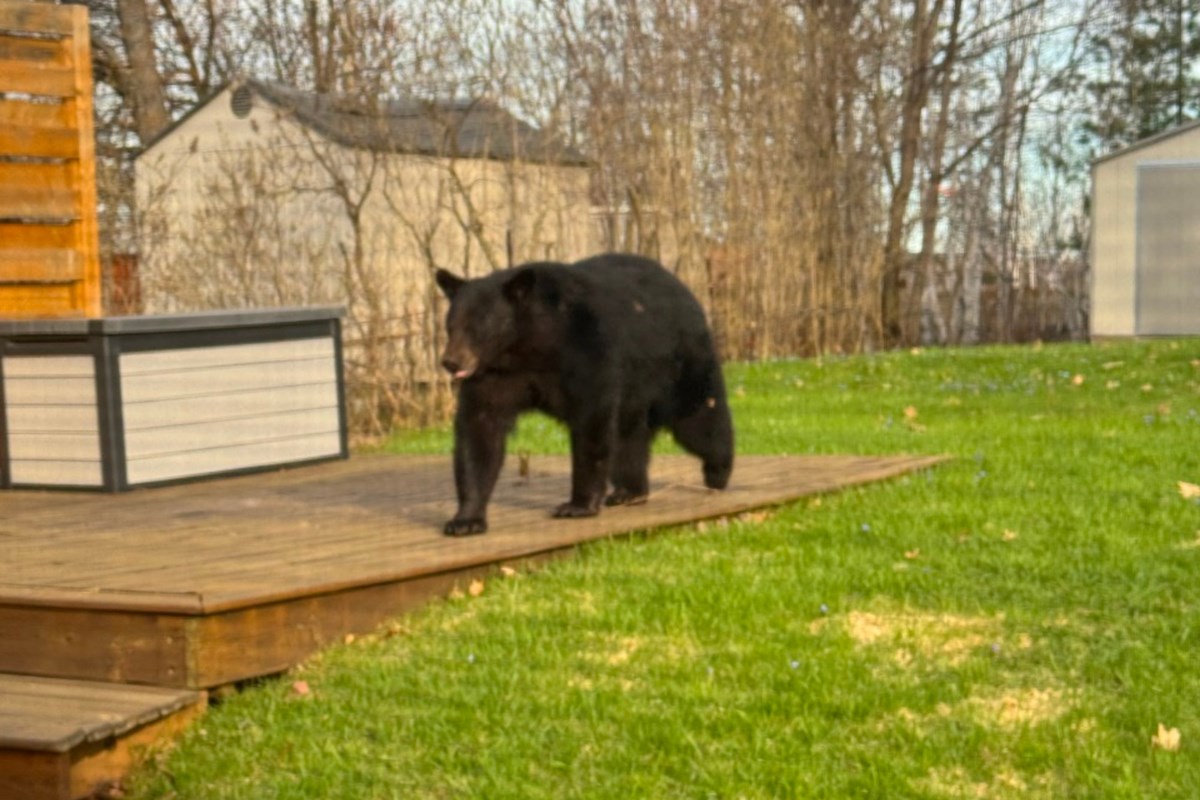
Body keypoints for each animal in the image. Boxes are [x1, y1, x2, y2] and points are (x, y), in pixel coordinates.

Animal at [434, 253, 734, 536]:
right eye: (450, 324)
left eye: (478, 326)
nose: (451, 362)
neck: (525, 346)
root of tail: (684, 289)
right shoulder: (493, 376)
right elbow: (480, 430)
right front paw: (465, 520)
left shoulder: (585, 351)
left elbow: (592, 423)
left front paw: (577, 506)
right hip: (634, 391)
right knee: (628, 438)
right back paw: (629, 491)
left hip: (679, 365)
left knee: (699, 418)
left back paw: (717, 473)